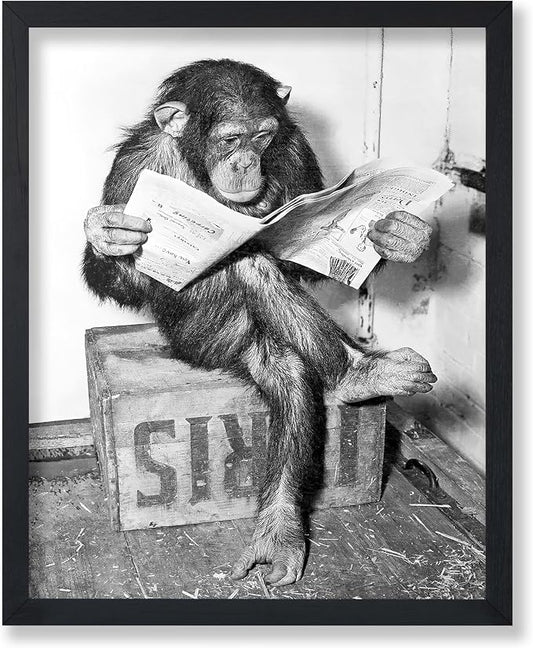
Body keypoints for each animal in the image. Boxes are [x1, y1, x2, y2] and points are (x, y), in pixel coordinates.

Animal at [83, 59, 435, 587]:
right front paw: (108, 233)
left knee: (281, 346)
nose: (247, 162)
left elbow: (300, 257)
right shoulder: (133, 165)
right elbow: (125, 278)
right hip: (205, 339)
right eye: (230, 139)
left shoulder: (294, 149)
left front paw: (397, 234)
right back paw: (356, 376)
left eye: (263, 136)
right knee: (249, 272)